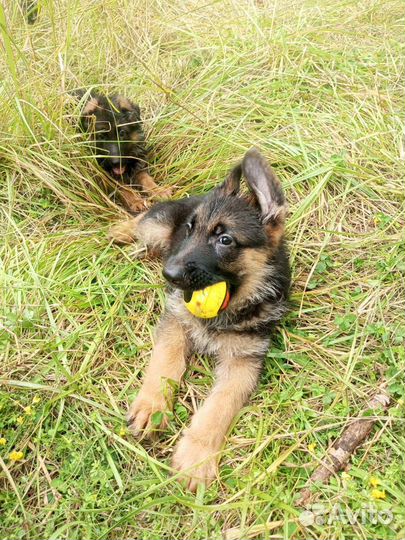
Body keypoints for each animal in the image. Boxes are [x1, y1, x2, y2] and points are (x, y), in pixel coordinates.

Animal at [109, 150, 288, 492]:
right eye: (190, 230)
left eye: (225, 240)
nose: (169, 274)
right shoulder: (175, 321)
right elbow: (165, 363)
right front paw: (152, 407)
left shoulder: (243, 363)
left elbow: (219, 406)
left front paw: (196, 456)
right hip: (158, 225)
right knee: (145, 218)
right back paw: (121, 229)